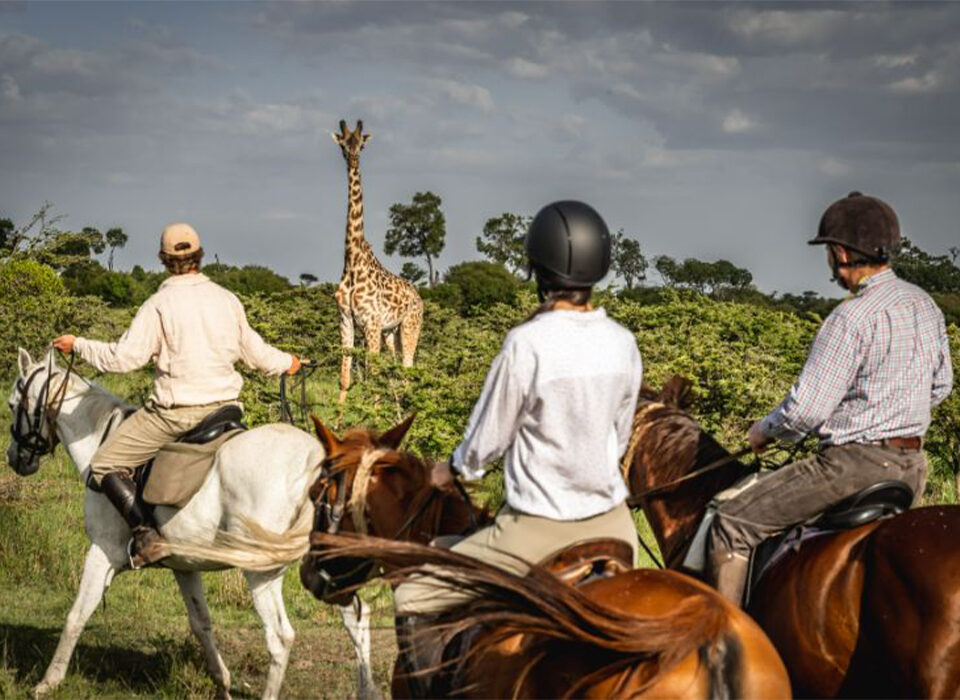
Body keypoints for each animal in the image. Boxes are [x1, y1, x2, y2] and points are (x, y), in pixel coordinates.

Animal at [4, 348, 378, 700]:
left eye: (11, 404)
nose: (15, 459)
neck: (100, 438)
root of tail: (315, 462)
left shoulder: (102, 552)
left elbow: (76, 614)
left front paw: (47, 683)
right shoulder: (184, 566)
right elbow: (201, 624)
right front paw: (222, 683)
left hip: (262, 570)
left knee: (280, 637)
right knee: (357, 619)